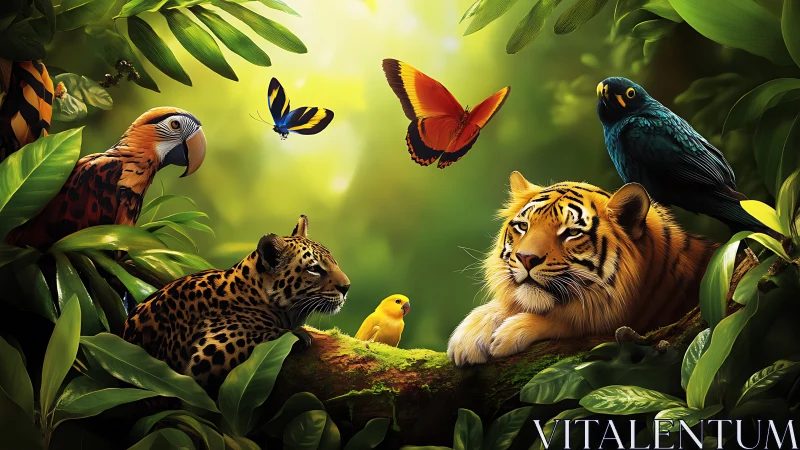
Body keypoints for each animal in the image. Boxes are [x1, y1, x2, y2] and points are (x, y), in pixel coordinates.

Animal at [447, 171, 717, 366]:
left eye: (571, 233)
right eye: (523, 226)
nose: (525, 258)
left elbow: (571, 321)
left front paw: (509, 333)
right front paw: (469, 336)